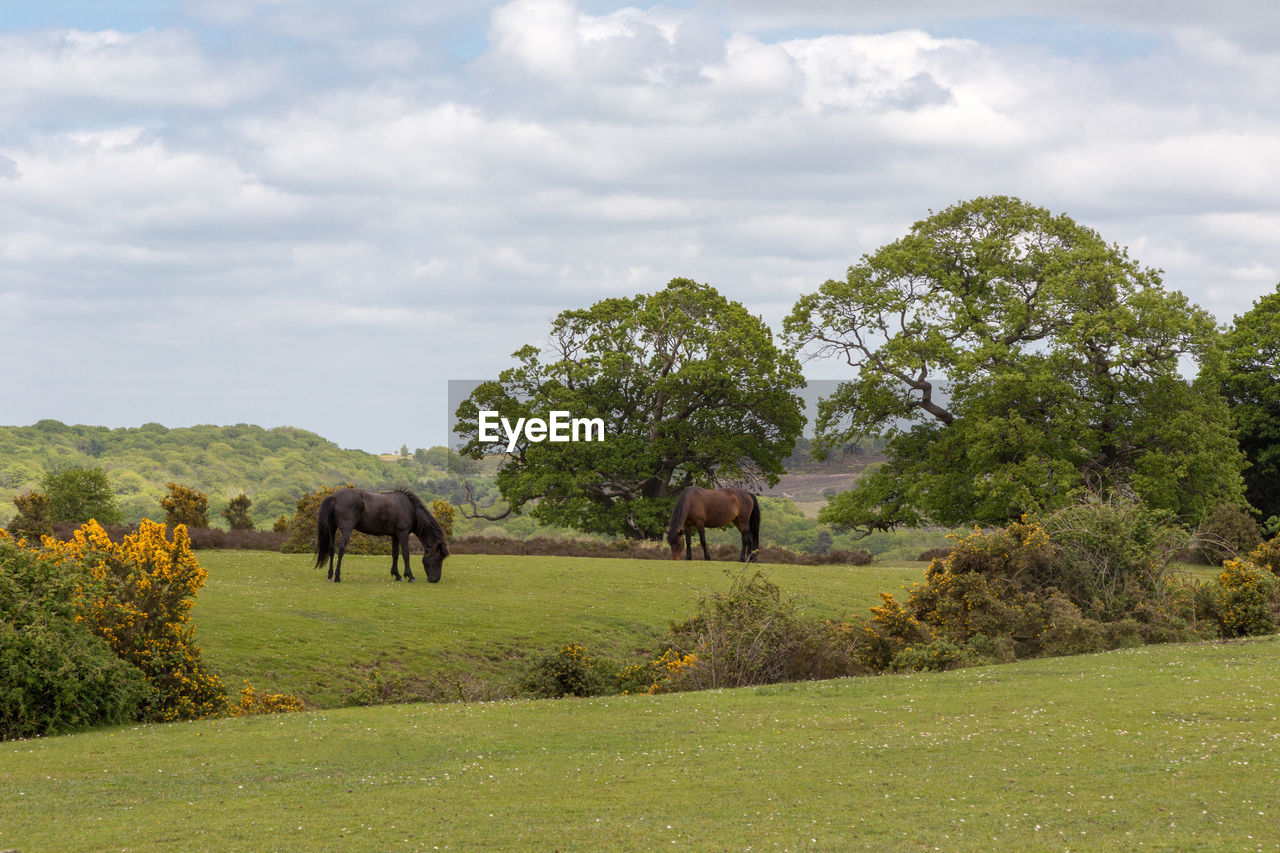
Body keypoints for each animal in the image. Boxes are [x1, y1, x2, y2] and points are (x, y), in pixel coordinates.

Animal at [314, 489, 450, 581]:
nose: (435, 579)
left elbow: (395, 554)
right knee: (341, 549)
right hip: (346, 530)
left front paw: (397, 575)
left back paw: (330, 575)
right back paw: (337, 577)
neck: (410, 509)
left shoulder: (395, 535)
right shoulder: (403, 533)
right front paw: (410, 576)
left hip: (332, 528)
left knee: (332, 549)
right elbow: (406, 554)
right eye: (438, 558)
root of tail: (334, 497)